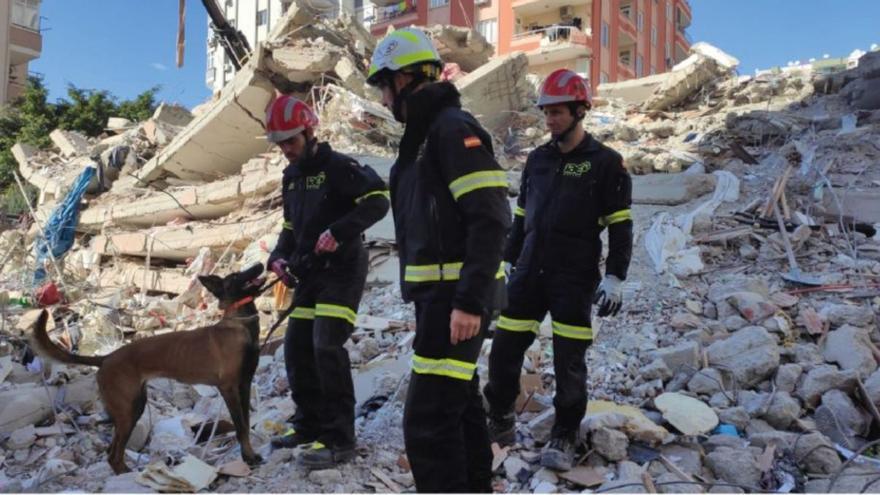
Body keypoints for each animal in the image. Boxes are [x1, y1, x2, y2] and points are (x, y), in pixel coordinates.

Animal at [31, 266, 264, 474]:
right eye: (236, 276)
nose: (260, 264)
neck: (240, 325)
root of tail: (105, 358)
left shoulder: (244, 385)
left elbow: (246, 423)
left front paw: (250, 454)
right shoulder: (229, 388)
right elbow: (240, 427)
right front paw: (248, 458)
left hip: (134, 406)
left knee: (112, 452)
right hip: (128, 411)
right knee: (113, 454)